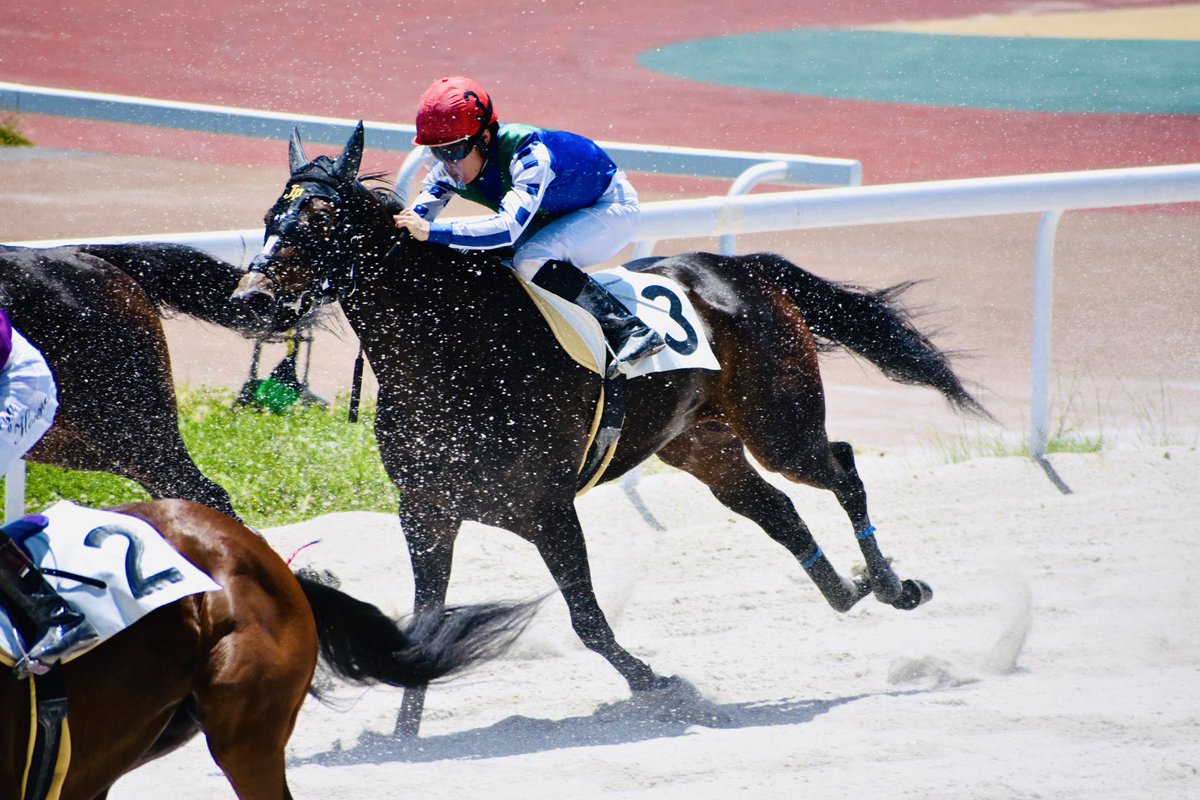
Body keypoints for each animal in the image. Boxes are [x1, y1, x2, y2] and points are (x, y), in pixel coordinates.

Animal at [233, 123, 988, 736]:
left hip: (780, 426)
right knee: (774, 508)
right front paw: (403, 739)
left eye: (319, 219)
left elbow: (589, 621)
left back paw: (893, 585)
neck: (454, 351)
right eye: (271, 215)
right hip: (701, 444)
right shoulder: (426, 510)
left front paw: (664, 686)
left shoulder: (545, 508)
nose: (251, 298)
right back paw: (847, 589)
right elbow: (417, 636)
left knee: (842, 465)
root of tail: (742, 268)